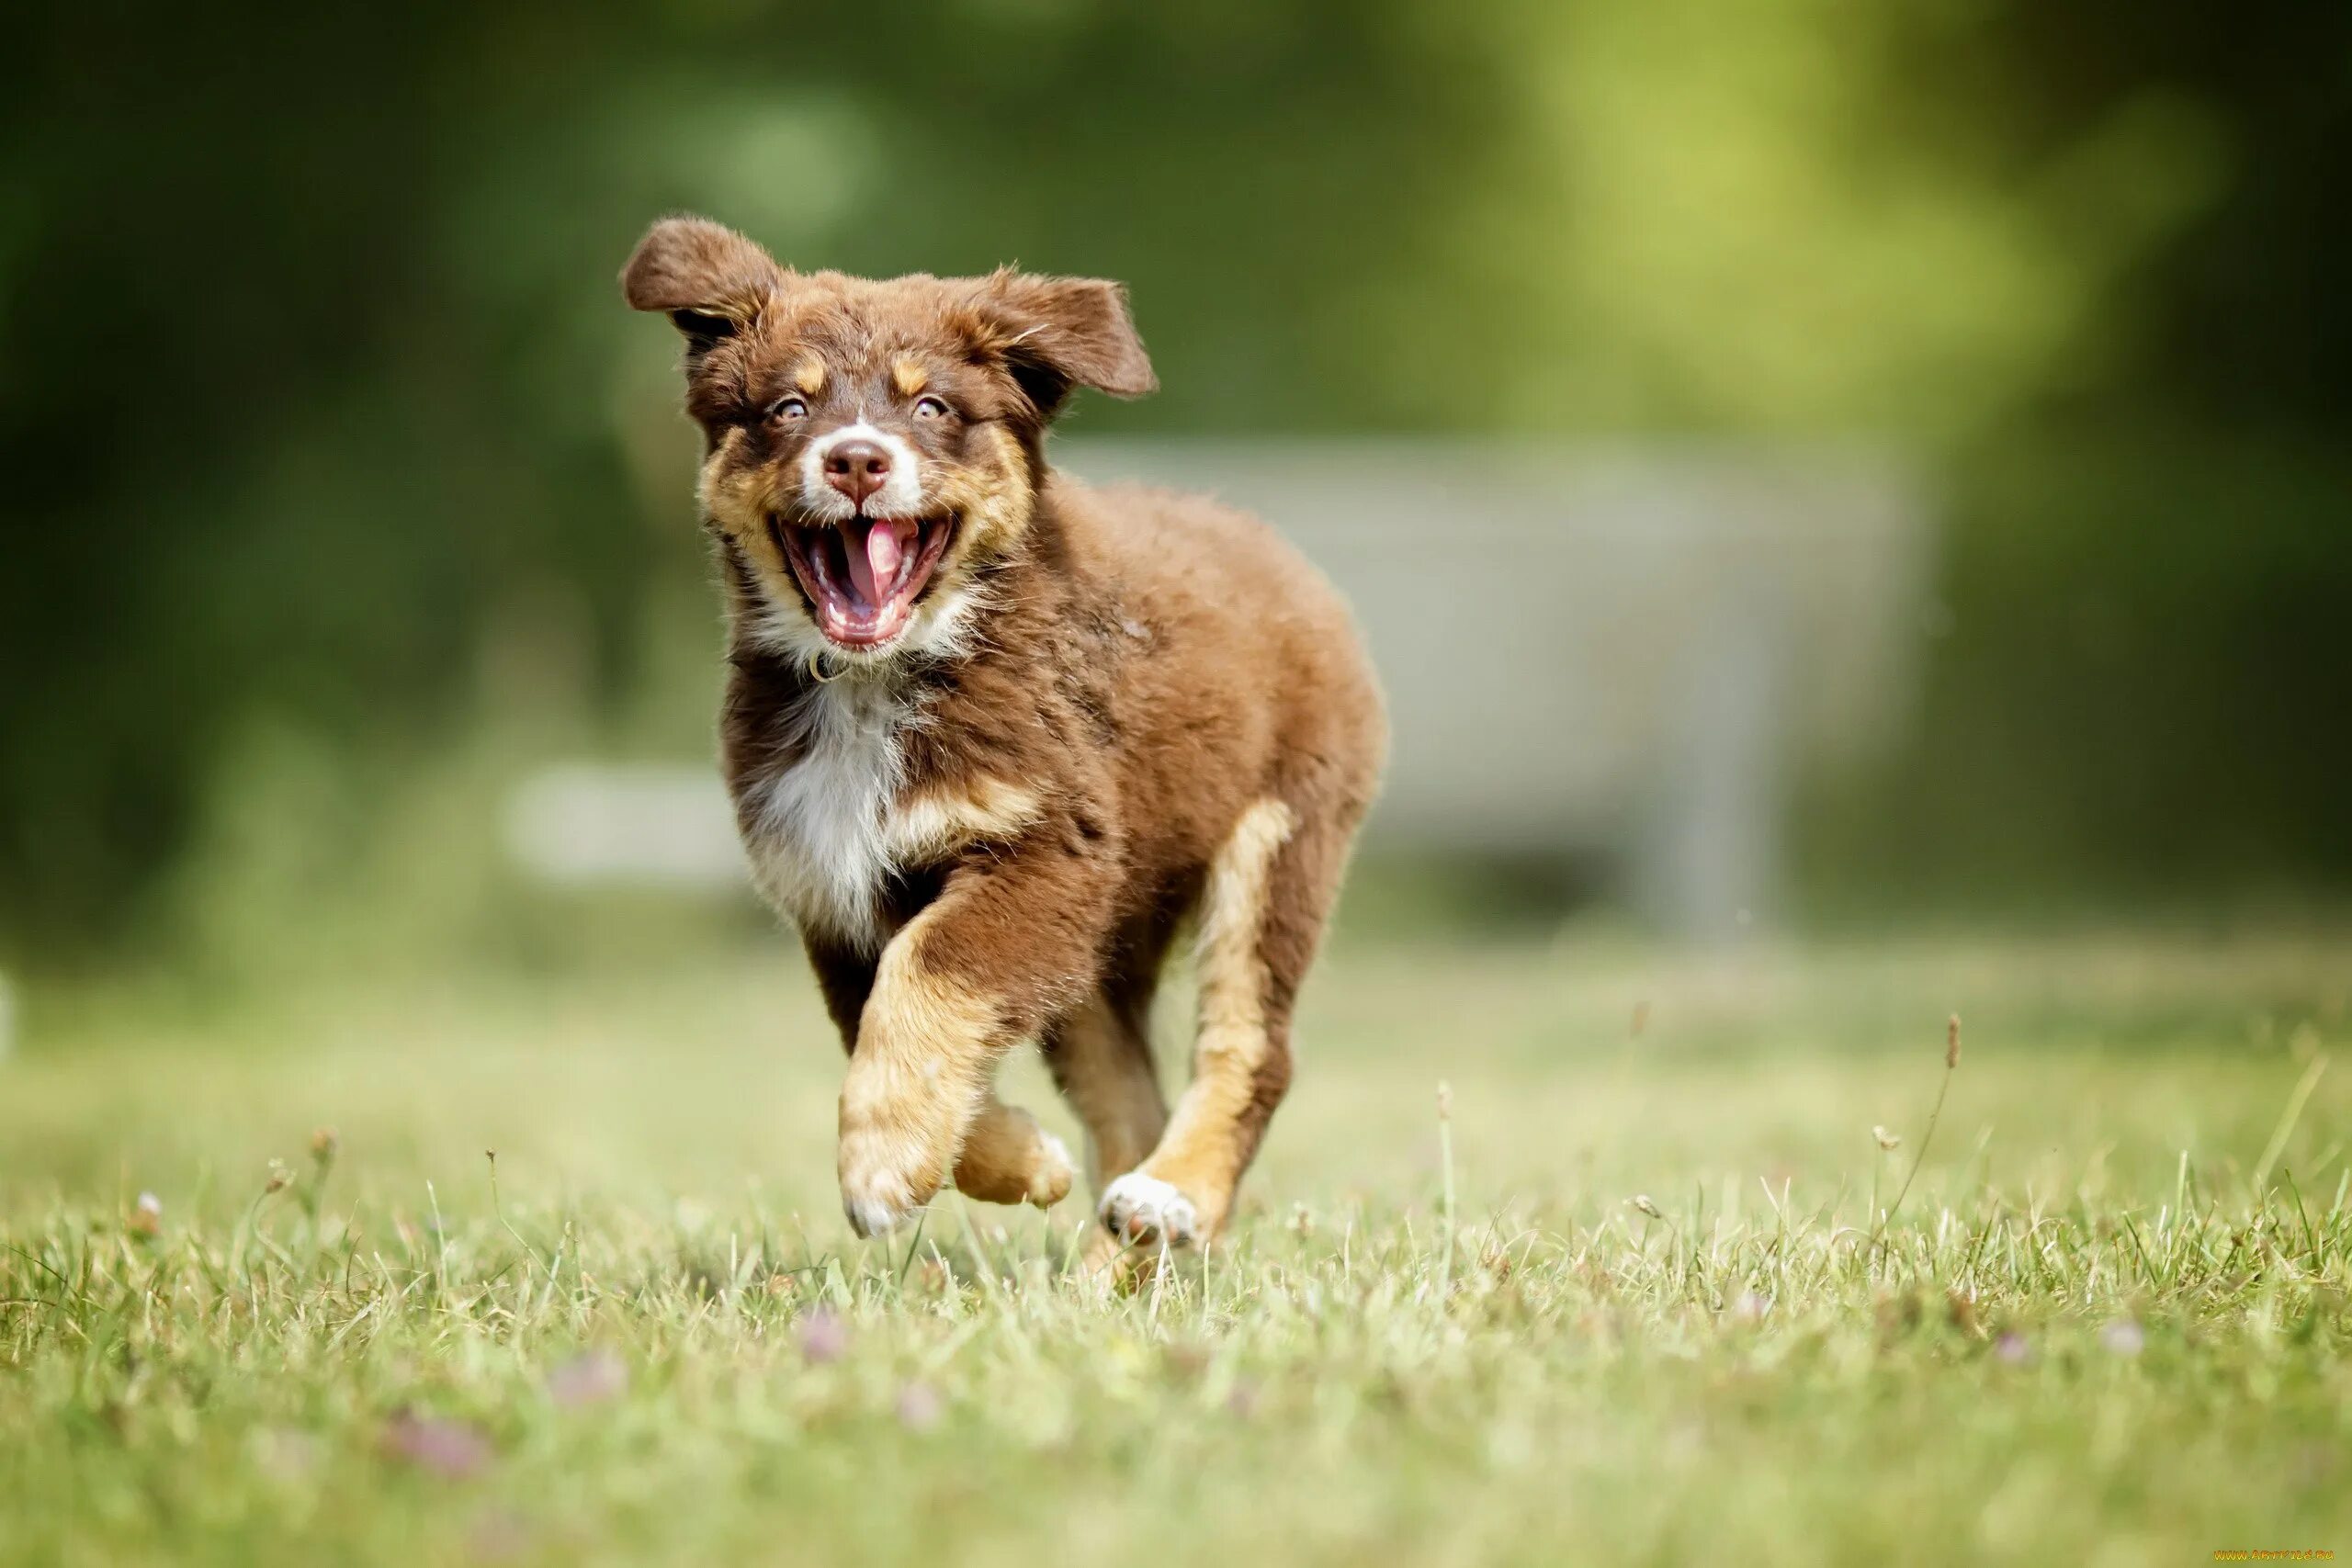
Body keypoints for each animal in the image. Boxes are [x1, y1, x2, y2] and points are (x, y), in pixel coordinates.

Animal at [630, 215, 1392, 1259]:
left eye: (933, 407)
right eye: (789, 406)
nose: (857, 460)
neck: (878, 681)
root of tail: (1277, 550)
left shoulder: (1043, 846)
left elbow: (927, 976)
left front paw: (882, 1163)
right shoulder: (832, 887)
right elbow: (880, 1015)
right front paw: (1011, 1162)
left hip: (1279, 836)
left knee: (1250, 1046)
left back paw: (1173, 1196)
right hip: (1106, 932)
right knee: (1126, 1091)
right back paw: (1122, 1241)